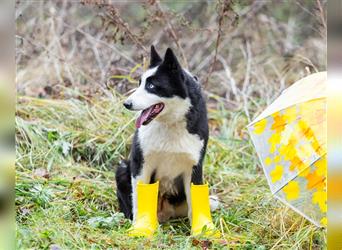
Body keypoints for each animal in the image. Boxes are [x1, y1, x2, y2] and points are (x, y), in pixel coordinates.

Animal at [115, 46, 208, 223]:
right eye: (140, 83)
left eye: (151, 86)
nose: (126, 104)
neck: (171, 123)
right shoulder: (141, 164)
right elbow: (139, 199)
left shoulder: (194, 167)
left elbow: (194, 204)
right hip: (122, 168)